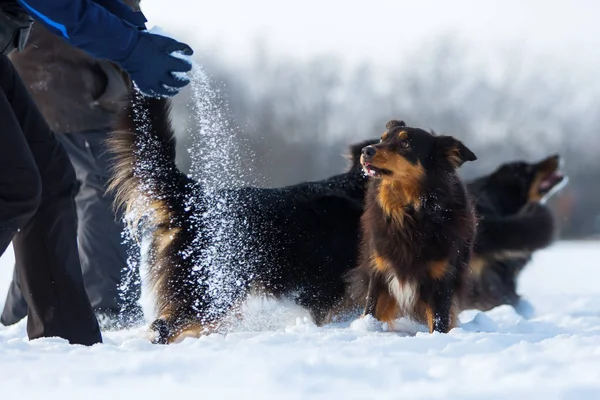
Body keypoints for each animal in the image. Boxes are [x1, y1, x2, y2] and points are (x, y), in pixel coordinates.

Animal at [346, 120, 478, 332]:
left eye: (405, 144)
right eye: (382, 138)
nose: (366, 151)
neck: (410, 212)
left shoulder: (442, 279)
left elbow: (439, 321)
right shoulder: (379, 271)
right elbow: (371, 310)